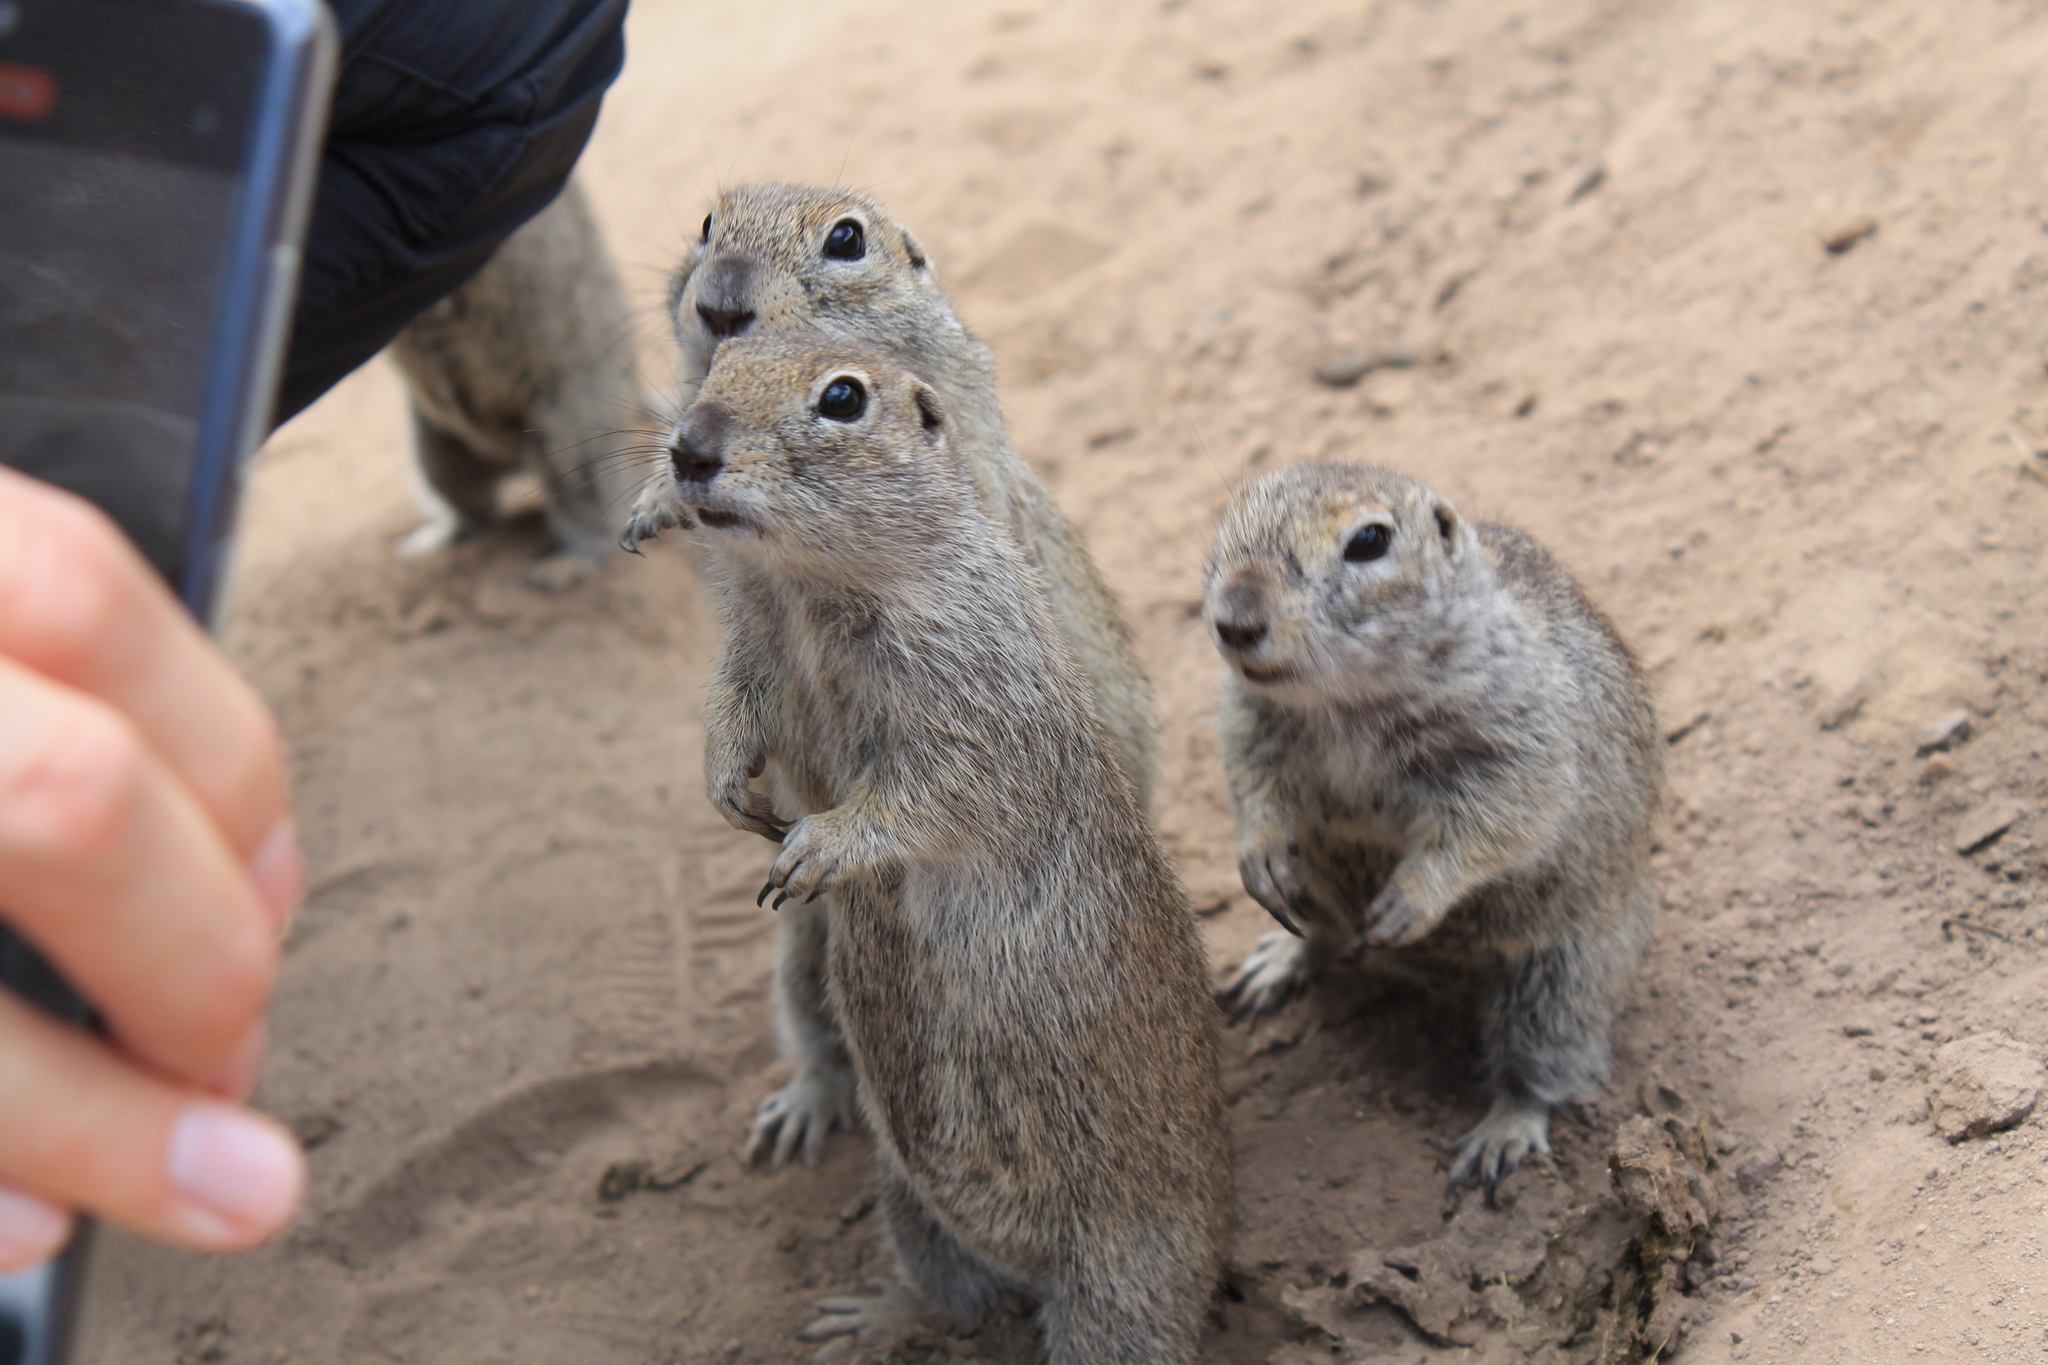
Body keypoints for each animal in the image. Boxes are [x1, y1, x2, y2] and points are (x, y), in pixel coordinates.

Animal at [385, 174, 655, 589]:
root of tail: (508, 456)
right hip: (433, 448)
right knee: (471, 509)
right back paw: (435, 538)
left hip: (569, 434)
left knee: (591, 508)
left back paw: (566, 564)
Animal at [622, 333, 1228, 1365]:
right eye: (723, 351)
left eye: (842, 397)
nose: (688, 448)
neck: (808, 590)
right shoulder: (755, 645)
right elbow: (732, 699)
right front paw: (729, 786)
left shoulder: (975, 688)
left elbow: (938, 791)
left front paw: (819, 846)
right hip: (908, 1196)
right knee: (955, 1295)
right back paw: (870, 1317)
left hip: (1124, 1287)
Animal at [663, 179, 1163, 1162]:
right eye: (704, 223)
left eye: (846, 240)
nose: (722, 300)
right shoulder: (750, 615)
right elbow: (738, 679)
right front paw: (725, 773)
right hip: (803, 958)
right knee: (823, 1033)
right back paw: (806, 1104)